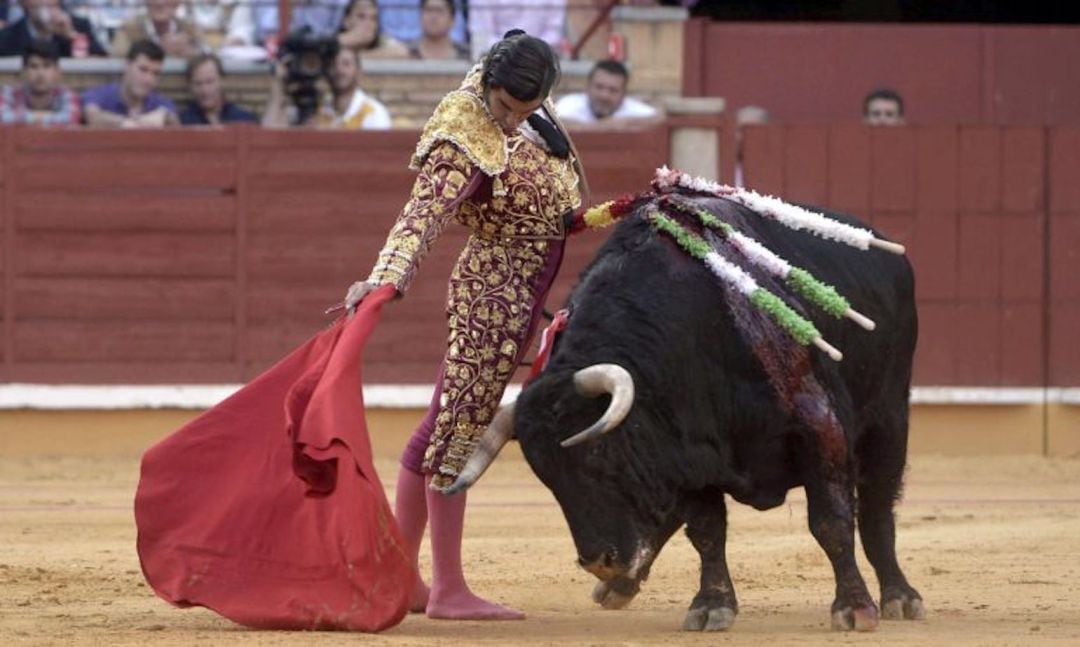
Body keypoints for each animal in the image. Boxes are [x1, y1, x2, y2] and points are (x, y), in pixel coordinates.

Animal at [447, 179, 928, 635]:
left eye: (599, 452)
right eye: (545, 476)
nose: (599, 561)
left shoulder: (819, 425)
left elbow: (831, 520)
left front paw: (854, 608)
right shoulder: (687, 451)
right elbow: (706, 529)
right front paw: (711, 606)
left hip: (889, 420)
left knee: (877, 506)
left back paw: (900, 597)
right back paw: (620, 586)